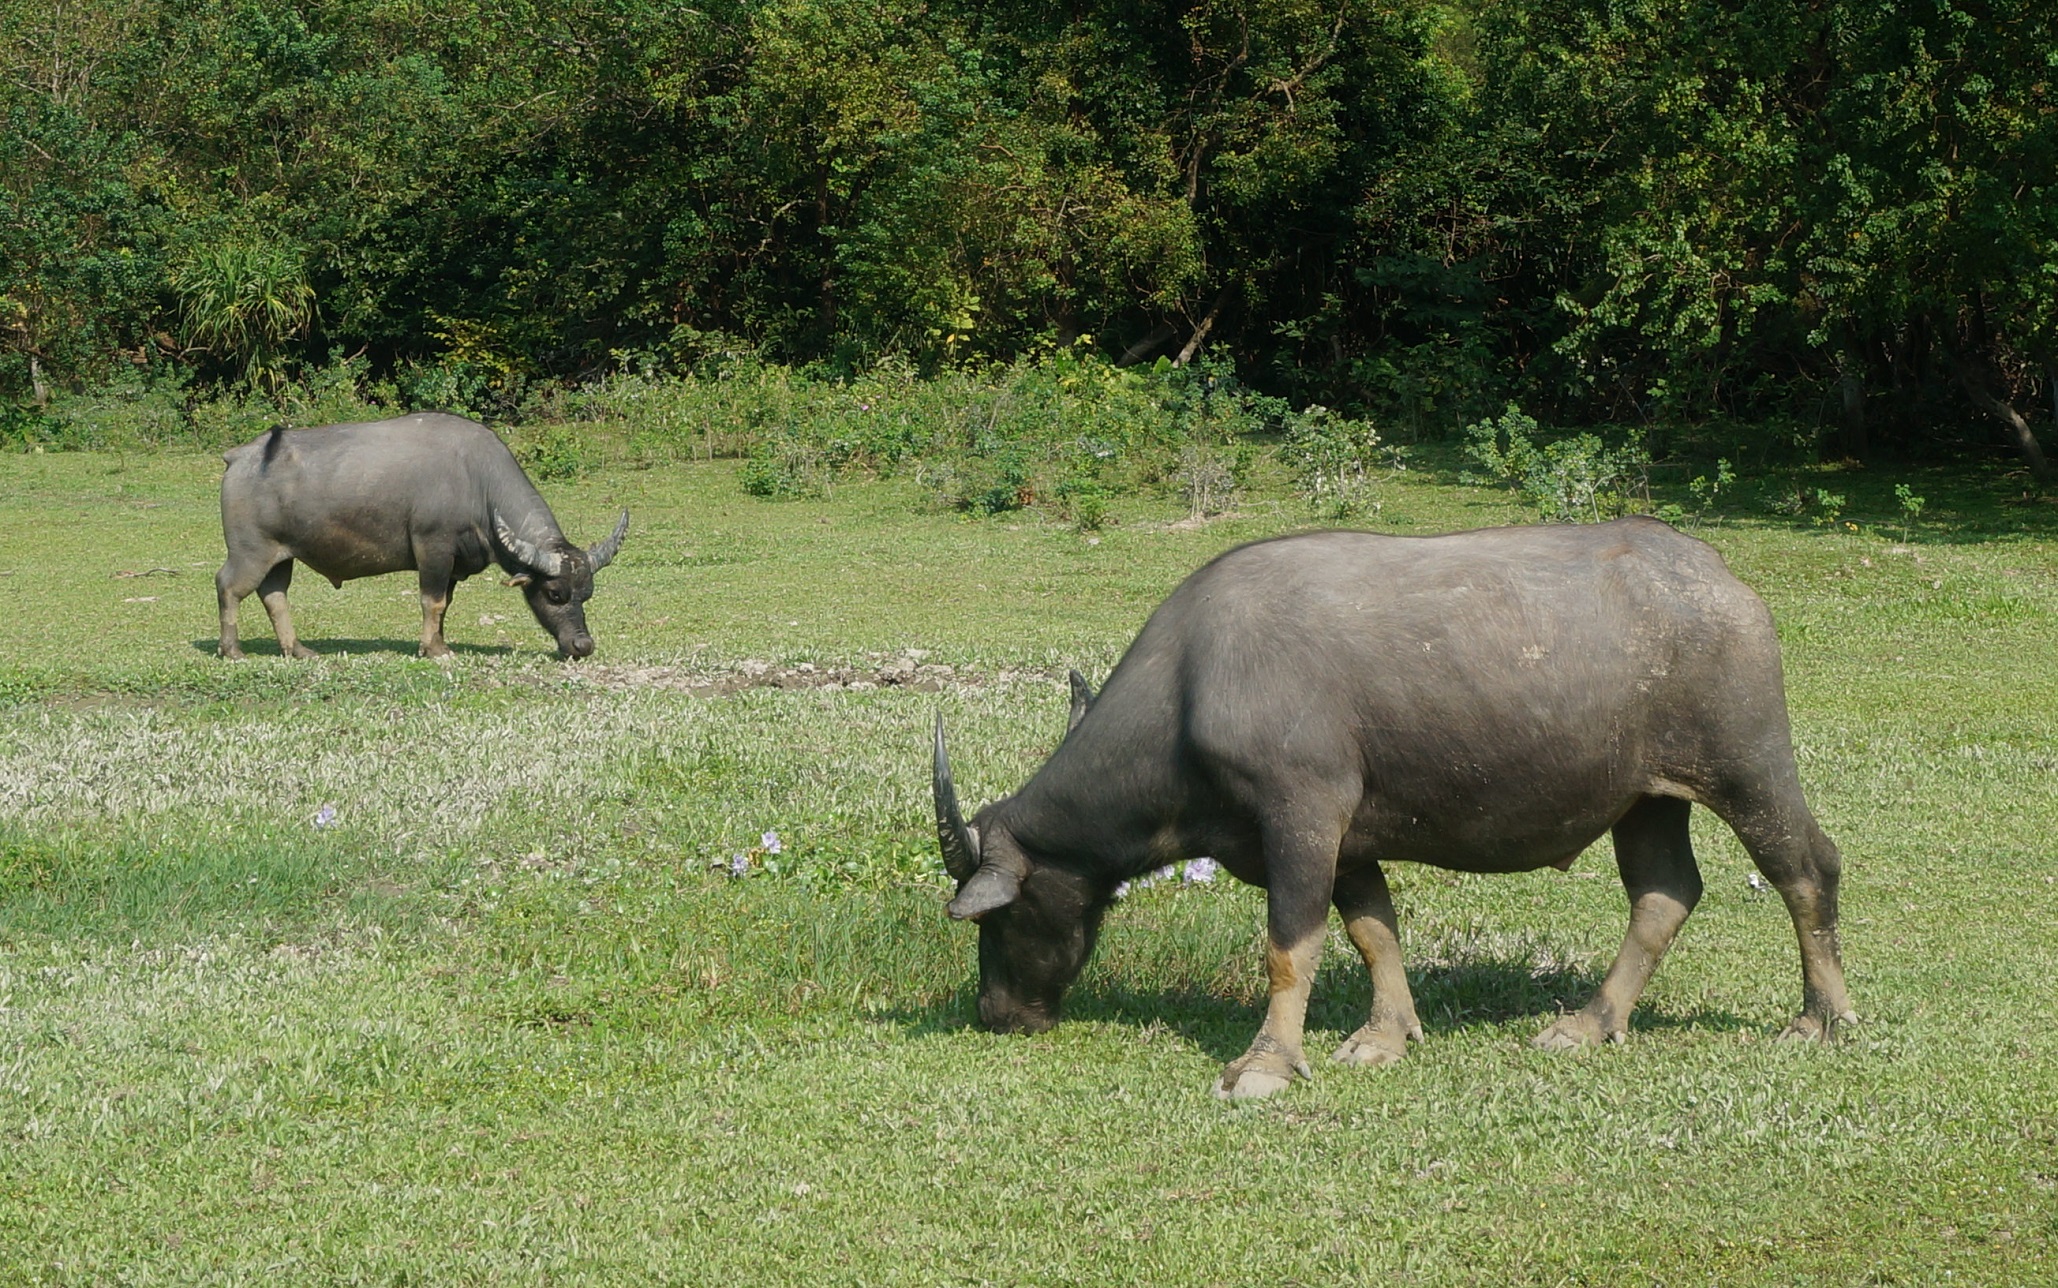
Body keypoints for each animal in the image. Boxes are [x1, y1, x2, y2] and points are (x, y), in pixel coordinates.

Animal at [214, 411, 625, 658]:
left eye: (587, 593)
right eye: (554, 594)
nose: (582, 644)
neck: (478, 483)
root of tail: (240, 457)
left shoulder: (454, 563)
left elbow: (445, 605)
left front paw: (438, 642)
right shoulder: (433, 549)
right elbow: (433, 601)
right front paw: (433, 649)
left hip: (281, 556)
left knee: (275, 595)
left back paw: (298, 650)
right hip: (249, 551)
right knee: (229, 586)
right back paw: (232, 650)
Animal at [926, 516, 1860, 1094]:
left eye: (997, 918)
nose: (996, 1015)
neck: (1191, 685)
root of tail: (1718, 577)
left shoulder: (1300, 819)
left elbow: (1289, 949)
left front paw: (1267, 1063)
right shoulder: (1349, 841)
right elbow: (1373, 930)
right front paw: (1386, 1034)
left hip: (1748, 767)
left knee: (1805, 869)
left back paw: (1820, 1018)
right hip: (1648, 799)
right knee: (1664, 894)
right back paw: (1589, 1023)